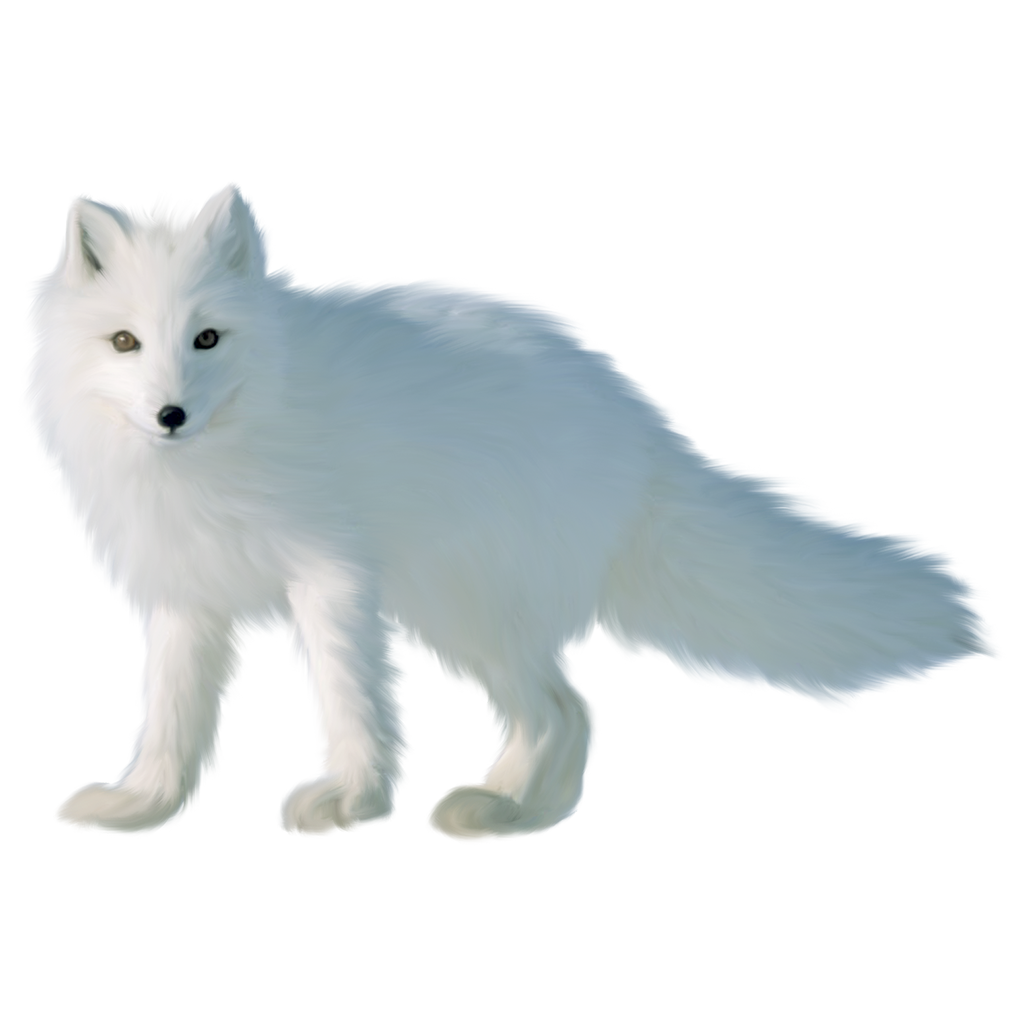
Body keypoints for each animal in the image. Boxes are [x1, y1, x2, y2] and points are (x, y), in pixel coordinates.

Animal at [20, 183, 1001, 843]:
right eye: (125, 342)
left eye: (207, 338)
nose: (170, 414)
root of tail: (636, 418)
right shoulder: (189, 598)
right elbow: (170, 721)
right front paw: (140, 806)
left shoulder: (331, 577)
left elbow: (348, 699)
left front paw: (348, 804)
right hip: (456, 610)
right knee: (564, 712)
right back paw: (503, 808)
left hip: (466, 604)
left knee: (570, 710)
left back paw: (499, 812)